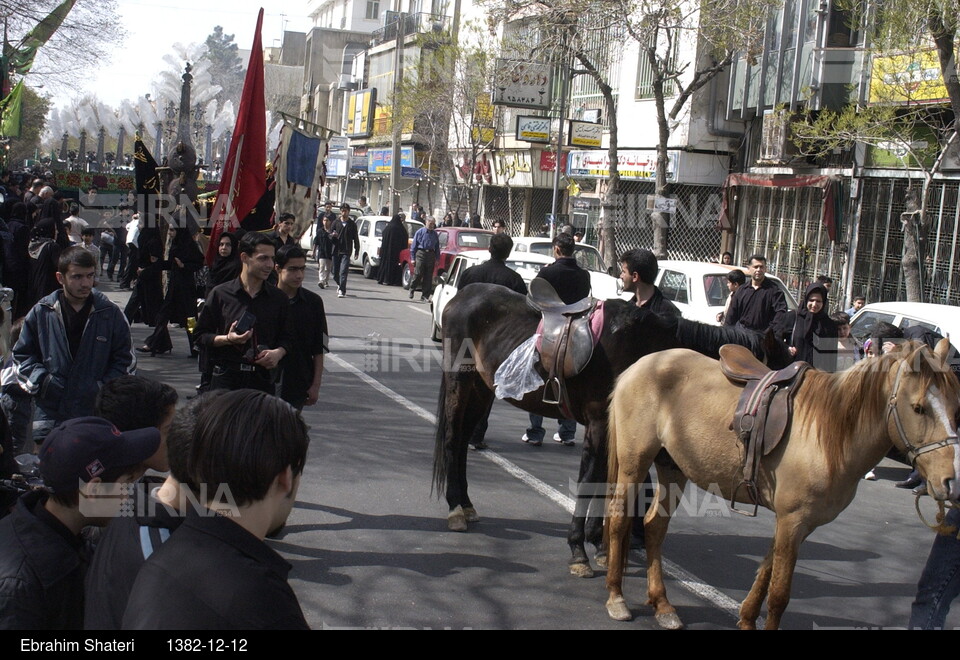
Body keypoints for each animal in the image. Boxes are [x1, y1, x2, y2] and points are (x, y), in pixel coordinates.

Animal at [432, 284, 792, 576]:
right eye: (775, 385)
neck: (647, 351)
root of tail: (460, 296)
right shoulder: (598, 423)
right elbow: (590, 480)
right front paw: (579, 549)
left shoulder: (613, 428)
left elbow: (605, 479)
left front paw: (600, 545)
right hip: (461, 383)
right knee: (452, 438)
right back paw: (455, 509)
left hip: (482, 389)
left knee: (462, 441)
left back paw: (466, 503)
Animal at [608, 340, 960, 628]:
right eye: (918, 408)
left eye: (955, 408)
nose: (950, 481)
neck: (830, 434)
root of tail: (641, 364)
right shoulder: (793, 519)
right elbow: (779, 595)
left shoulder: (798, 524)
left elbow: (766, 572)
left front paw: (746, 619)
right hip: (634, 464)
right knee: (618, 519)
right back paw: (616, 598)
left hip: (673, 469)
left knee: (655, 526)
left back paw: (663, 605)